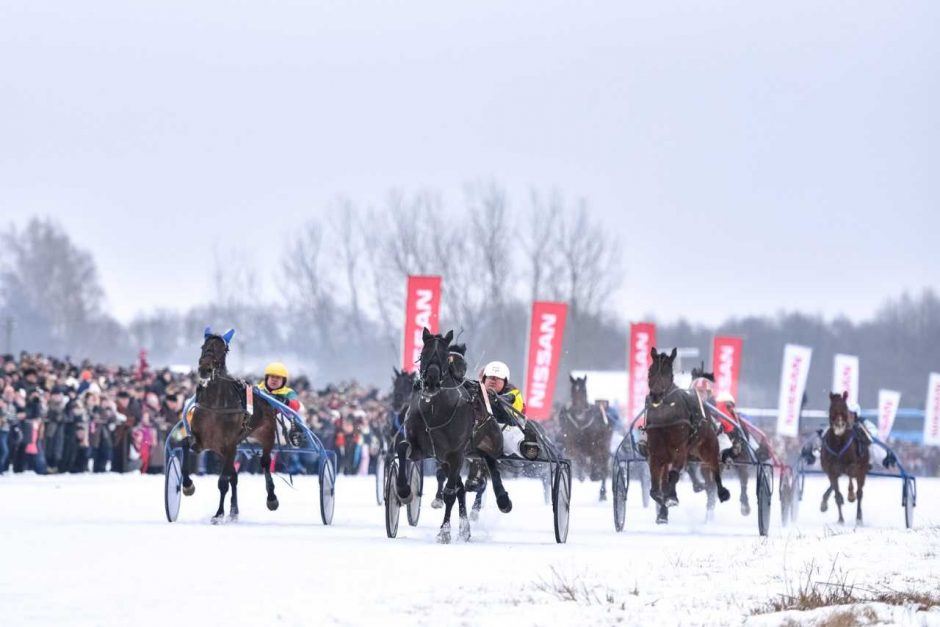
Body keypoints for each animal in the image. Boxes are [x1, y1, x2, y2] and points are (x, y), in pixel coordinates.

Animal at [179, 328, 282, 524]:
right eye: (203, 346)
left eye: (224, 350)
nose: (205, 368)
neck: (215, 405)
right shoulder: (202, 441)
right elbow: (184, 445)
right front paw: (188, 485)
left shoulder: (229, 444)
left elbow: (222, 482)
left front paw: (218, 514)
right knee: (234, 476)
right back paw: (234, 511)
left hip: (266, 433)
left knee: (264, 462)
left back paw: (271, 498)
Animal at [396, 328, 516, 544]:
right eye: (423, 353)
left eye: (444, 357)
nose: (431, 382)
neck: (434, 411)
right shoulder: (423, 449)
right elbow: (402, 448)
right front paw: (404, 491)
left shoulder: (455, 453)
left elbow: (450, 493)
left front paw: (444, 532)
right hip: (446, 458)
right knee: (461, 487)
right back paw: (465, 529)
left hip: (487, 445)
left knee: (490, 467)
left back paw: (502, 499)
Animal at [644, 348, 732, 524]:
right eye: (650, 370)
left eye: (668, 373)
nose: (656, 395)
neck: (665, 418)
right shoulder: (656, 454)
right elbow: (655, 490)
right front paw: (662, 504)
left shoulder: (680, 450)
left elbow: (674, 475)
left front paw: (671, 498)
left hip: (708, 445)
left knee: (714, 467)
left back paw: (721, 492)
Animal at [820, 392, 872, 524]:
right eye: (832, 409)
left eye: (844, 408)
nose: (839, 425)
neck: (838, 444)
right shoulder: (831, 471)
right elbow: (836, 493)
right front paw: (840, 520)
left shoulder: (854, 465)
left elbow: (850, 474)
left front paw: (850, 495)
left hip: (862, 470)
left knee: (859, 492)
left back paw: (858, 516)